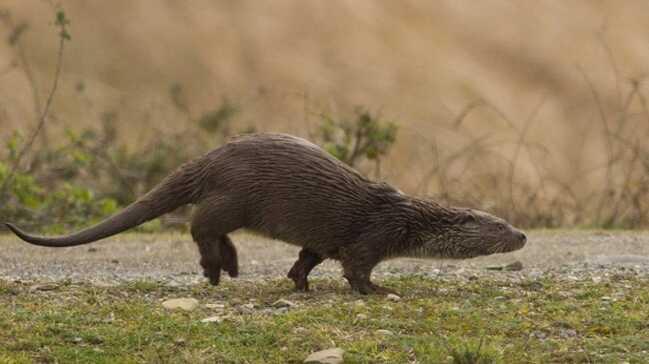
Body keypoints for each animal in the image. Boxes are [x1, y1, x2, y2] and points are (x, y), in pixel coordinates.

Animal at [3, 133, 528, 292]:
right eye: (500, 225)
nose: (523, 235)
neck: (410, 220)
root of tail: (210, 158)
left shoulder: (325, 239)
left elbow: (309, 257)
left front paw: (299, 282)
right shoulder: (374, 235)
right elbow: (357, 269)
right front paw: (378, 290)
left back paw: (226, 266)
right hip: (236, 196)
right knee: (199, 225)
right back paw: (219, 267)